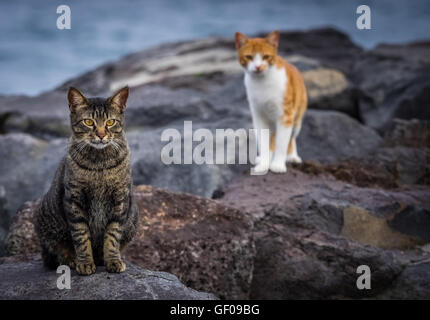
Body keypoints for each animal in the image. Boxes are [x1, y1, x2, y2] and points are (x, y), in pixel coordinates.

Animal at [36, 87, 139, 276]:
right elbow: (81, 236)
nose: (101, 135)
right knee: (55, 251)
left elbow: (112, 235)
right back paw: (70, 260)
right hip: (46, 221)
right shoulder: (74, 200)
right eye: (89, 122)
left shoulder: (120, 200)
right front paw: (84, 263)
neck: (99, 164)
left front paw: (113, 260)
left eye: (110, 122)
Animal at [233, 30, 308, 172]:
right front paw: (263, 164)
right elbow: (263, 142)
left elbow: (282, 142)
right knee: (272, 139)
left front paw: (277, 165)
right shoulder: (258, 116)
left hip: (297, 119)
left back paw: (292, 156)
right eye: (249, 57)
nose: (258, 67)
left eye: (266, 57)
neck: (262, 82)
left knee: (291, 138)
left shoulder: (285, 116)